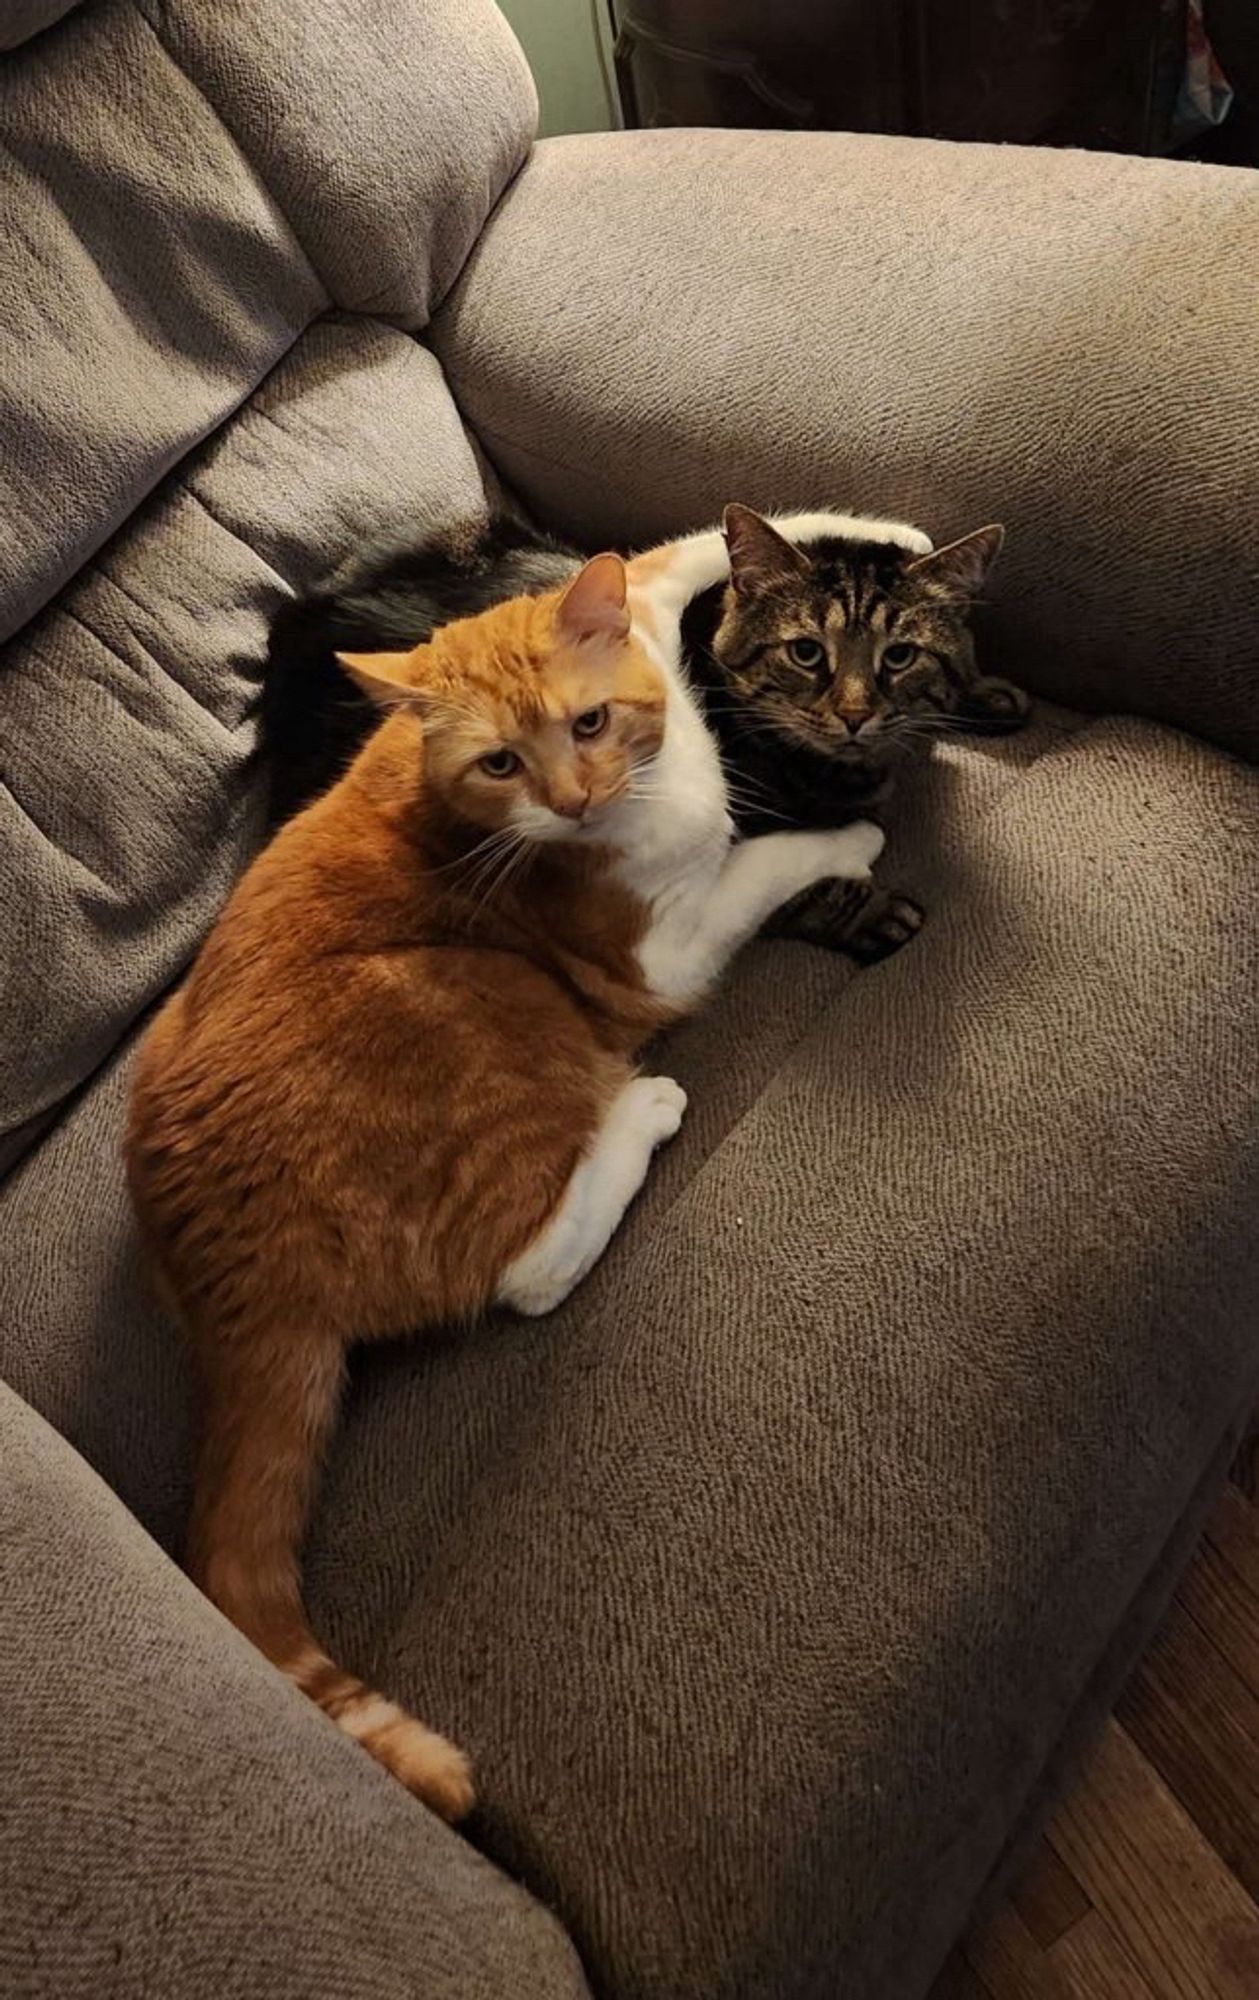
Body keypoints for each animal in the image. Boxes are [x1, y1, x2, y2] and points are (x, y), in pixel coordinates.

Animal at [123, 524, 883, 1824]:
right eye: (498, 762)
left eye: (586, 723)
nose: (574, 799)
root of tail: (229, 1277)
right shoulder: (664, 950)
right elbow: (768, 856)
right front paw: (850, 841)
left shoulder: (638, 619)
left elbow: (659, 562)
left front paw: (880, 534)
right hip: (490, 1006)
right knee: (525, 1271)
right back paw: (638, 1113)